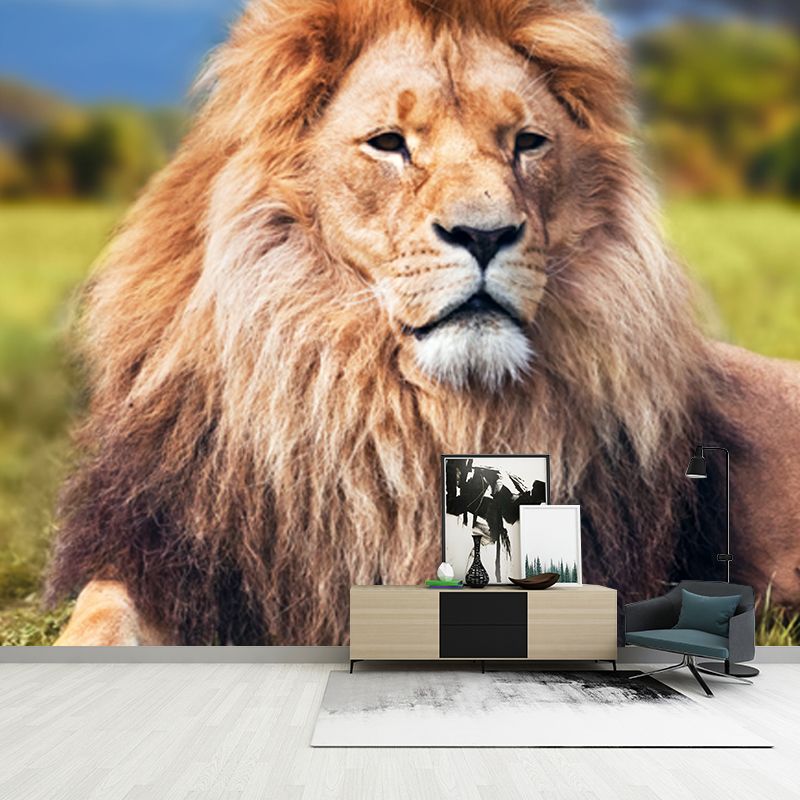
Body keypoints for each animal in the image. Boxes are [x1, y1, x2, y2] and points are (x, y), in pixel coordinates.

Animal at [48, 0, 800, 645]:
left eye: (528, 142)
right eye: (388, 143)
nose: (485, 234)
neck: (401, 407)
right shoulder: (168, 557)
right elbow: (99, 617)